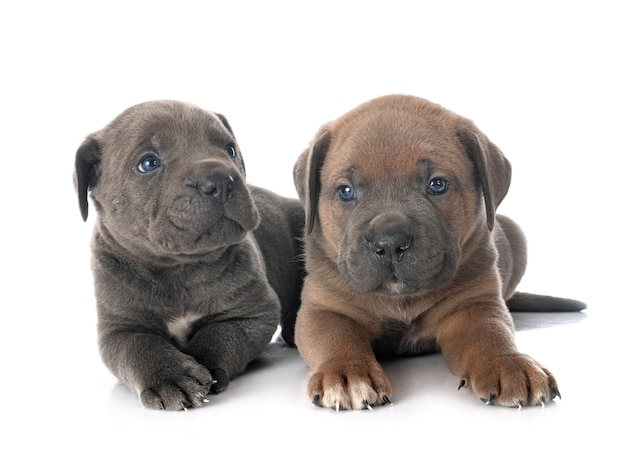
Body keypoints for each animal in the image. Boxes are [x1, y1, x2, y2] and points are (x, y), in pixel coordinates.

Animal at [74, 100, 304, 412]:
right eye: (149, 163)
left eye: (230, 149)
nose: (221, 179)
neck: (178, 268)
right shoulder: (119, 330)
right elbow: (140, 348)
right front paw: (169, 376)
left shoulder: (253, 312)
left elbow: (217, 335)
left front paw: (201, 366)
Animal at [292, 93, 584, 412]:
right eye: (345, 191)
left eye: (437, 184)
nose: (390, 242)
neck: (401, 299)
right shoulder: (324, 310)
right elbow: (335, 338)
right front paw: (347, 372)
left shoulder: (474, 306)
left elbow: (491, 334)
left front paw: (509, 365)